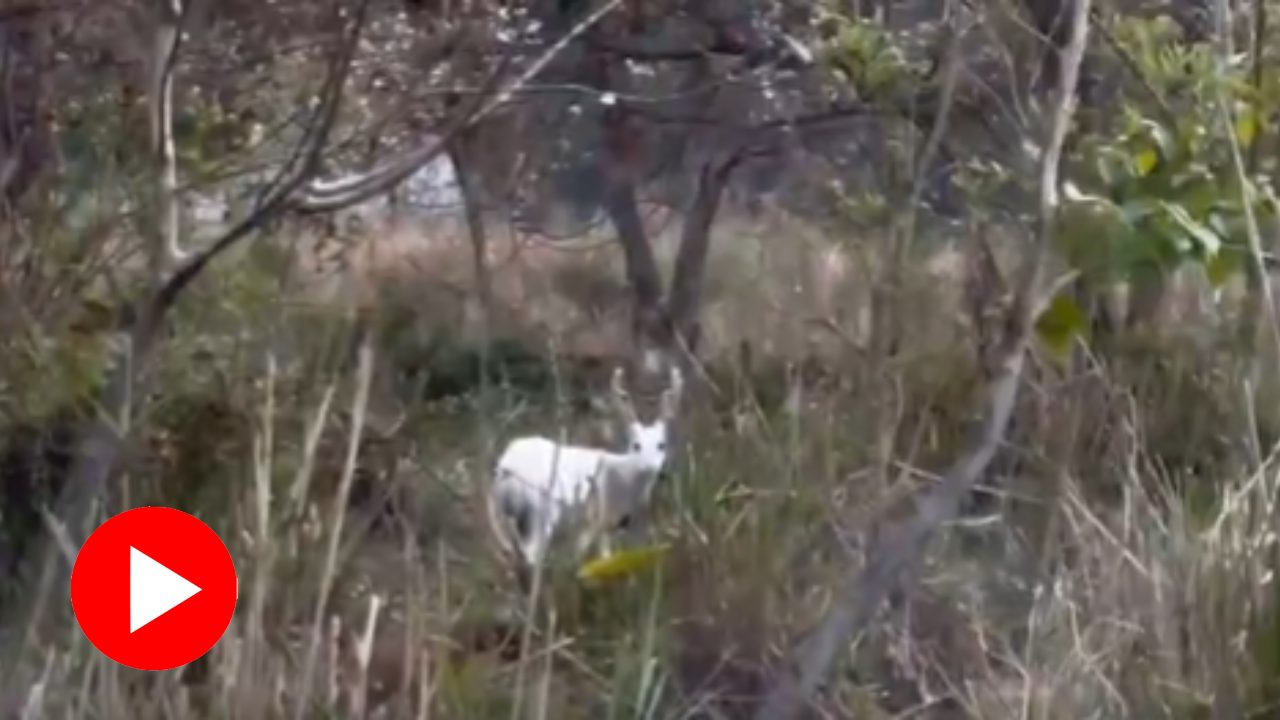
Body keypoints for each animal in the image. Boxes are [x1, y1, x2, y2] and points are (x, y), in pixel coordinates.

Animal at [486, 364, 684, 580]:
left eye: (661, 445)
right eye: (636, 445)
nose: (655, 470)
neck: (622, 478)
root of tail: (506, 469)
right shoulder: (597, 519)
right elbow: (600, 557)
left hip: (501, 514)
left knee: (509, 553)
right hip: (540, 511)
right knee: (530, 555)